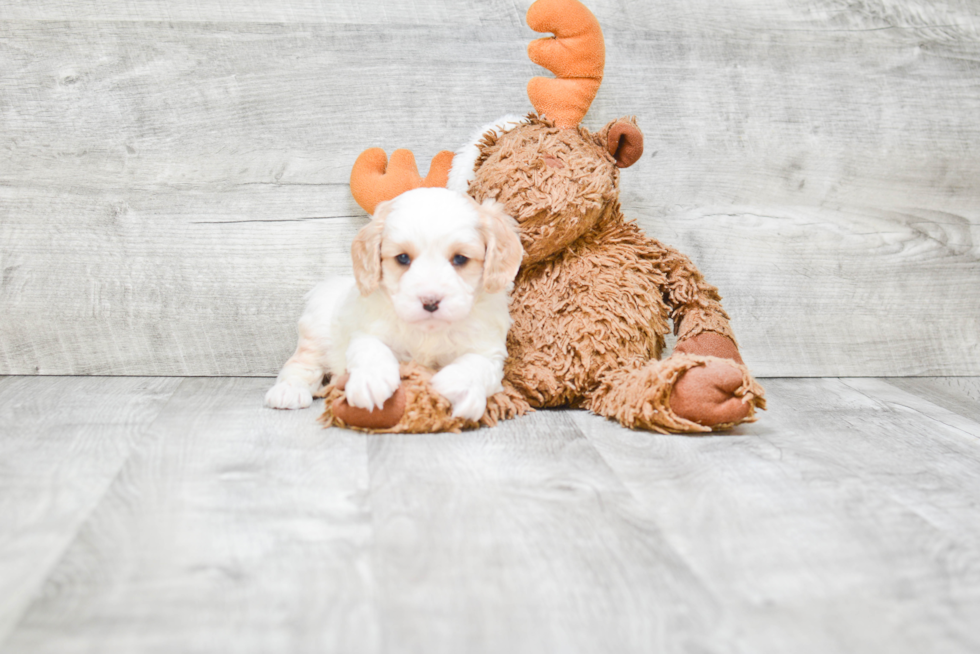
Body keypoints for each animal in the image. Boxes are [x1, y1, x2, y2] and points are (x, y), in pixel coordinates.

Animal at [260, 188, 520, 426]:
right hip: (315, 334)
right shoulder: (366, 331)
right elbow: (372, 349)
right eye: (403, 258)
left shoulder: (489, 349)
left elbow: (477, 363)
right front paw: (370, 381)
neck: (428, 332)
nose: (430, 301)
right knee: (301, 365)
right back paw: (288, 391)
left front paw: (458, 385)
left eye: (460, 259)